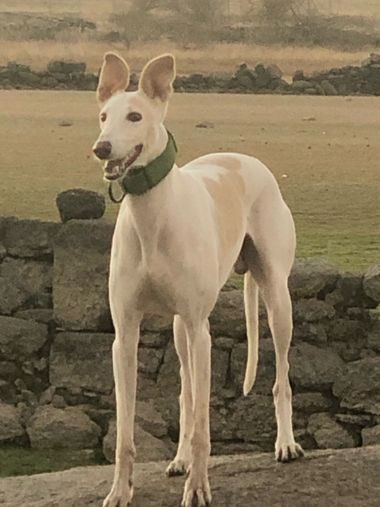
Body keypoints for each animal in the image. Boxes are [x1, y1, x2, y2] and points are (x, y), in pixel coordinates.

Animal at [93, 52, 302, 507]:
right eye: (102, 116)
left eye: (135, 116)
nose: (101, 148)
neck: (152, 214)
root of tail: (242, 158)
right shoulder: (126, 335)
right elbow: (126, 431)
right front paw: (120, 490)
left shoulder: (200, 330)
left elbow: (206, 427)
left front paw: (199, 488)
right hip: (177, 330)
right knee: (186, 393)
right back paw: (180, 458)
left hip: (276, 300)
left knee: (280, 376)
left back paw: (285, 443)